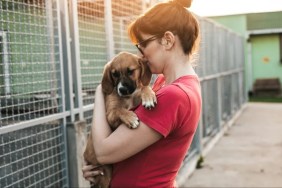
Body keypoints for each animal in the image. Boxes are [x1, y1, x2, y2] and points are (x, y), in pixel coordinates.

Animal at [83, 51, 156, 188]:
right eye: (114, 74)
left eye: (130, 71)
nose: (121, 89)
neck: (128, 97)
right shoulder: (110, 114)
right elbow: (120, 110)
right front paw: (131, 118)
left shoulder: (135, 98)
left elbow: (144, 87)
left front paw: (149, 96)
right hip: (104, 173)